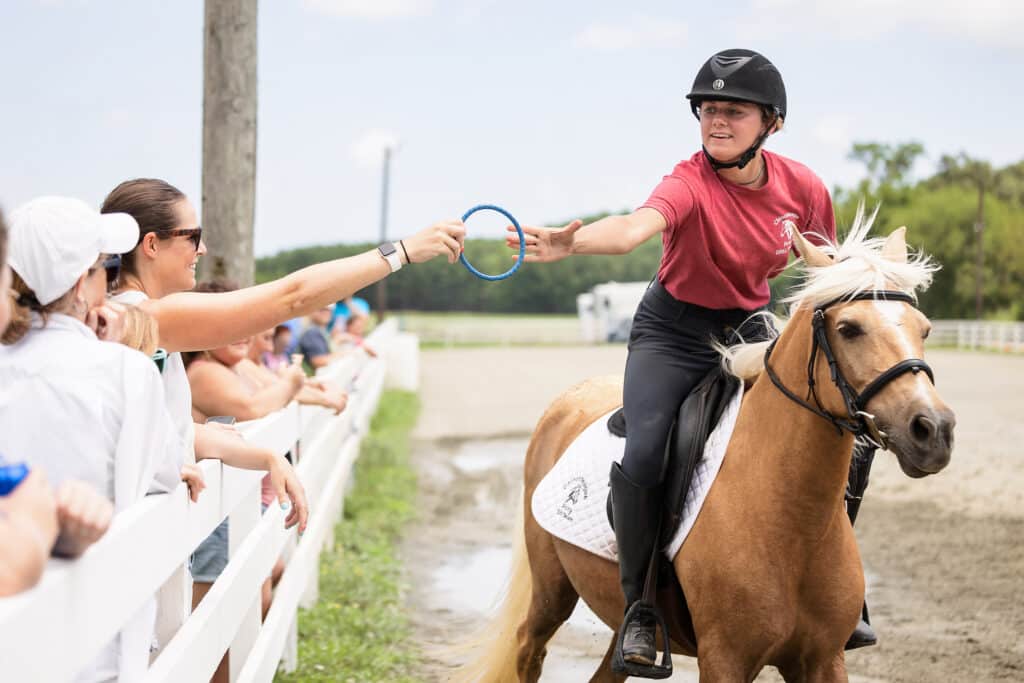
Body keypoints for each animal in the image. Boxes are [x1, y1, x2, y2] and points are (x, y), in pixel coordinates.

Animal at [452, 220, 954, 683]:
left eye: (925, 329)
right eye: (849, 328)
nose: (934, 430)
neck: (788, 516)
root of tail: (569, 399)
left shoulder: (823, 661)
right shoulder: (725, 660)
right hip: (550, 591)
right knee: (527, 649)